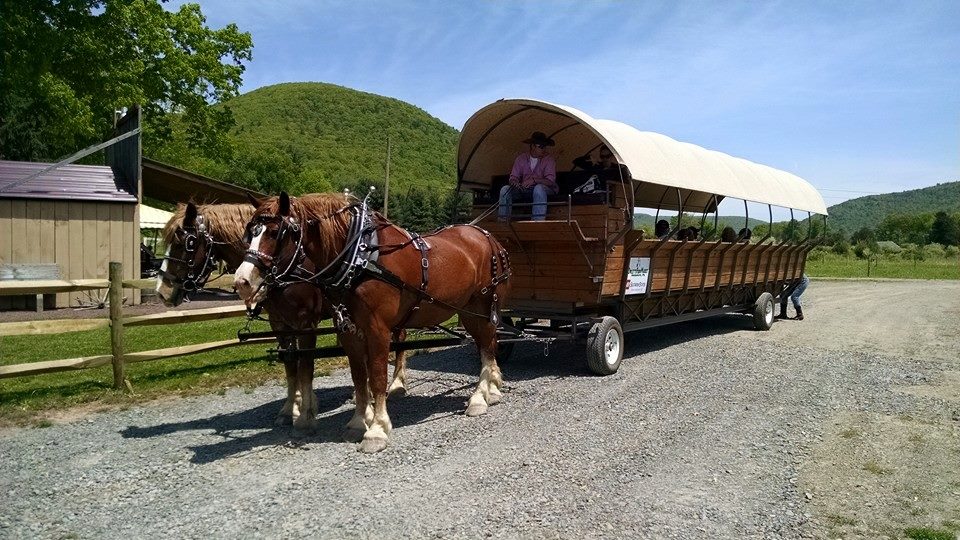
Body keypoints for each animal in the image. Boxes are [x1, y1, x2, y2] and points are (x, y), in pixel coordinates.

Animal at [157, 200, 408, 432]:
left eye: (186, 242)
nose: (162, 291)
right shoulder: (280, 323)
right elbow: (290, 365)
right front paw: (291, 408)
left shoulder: (305, 322)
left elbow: (305, 365)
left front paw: (305, 414)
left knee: (400, 340)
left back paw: (396, 384)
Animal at [233, 192, 512, 454]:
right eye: (249, 232)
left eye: (276, 232)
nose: (242, 281)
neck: (361, 256)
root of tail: (486, 235)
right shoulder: (346, 330)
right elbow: (357, 377)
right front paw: (358, 422)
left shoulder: (375, 329)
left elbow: (375, 376)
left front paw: (376, 429)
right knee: (488, 343)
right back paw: (491, 388)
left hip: (480, 307)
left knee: (487, 348)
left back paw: (480, 397)